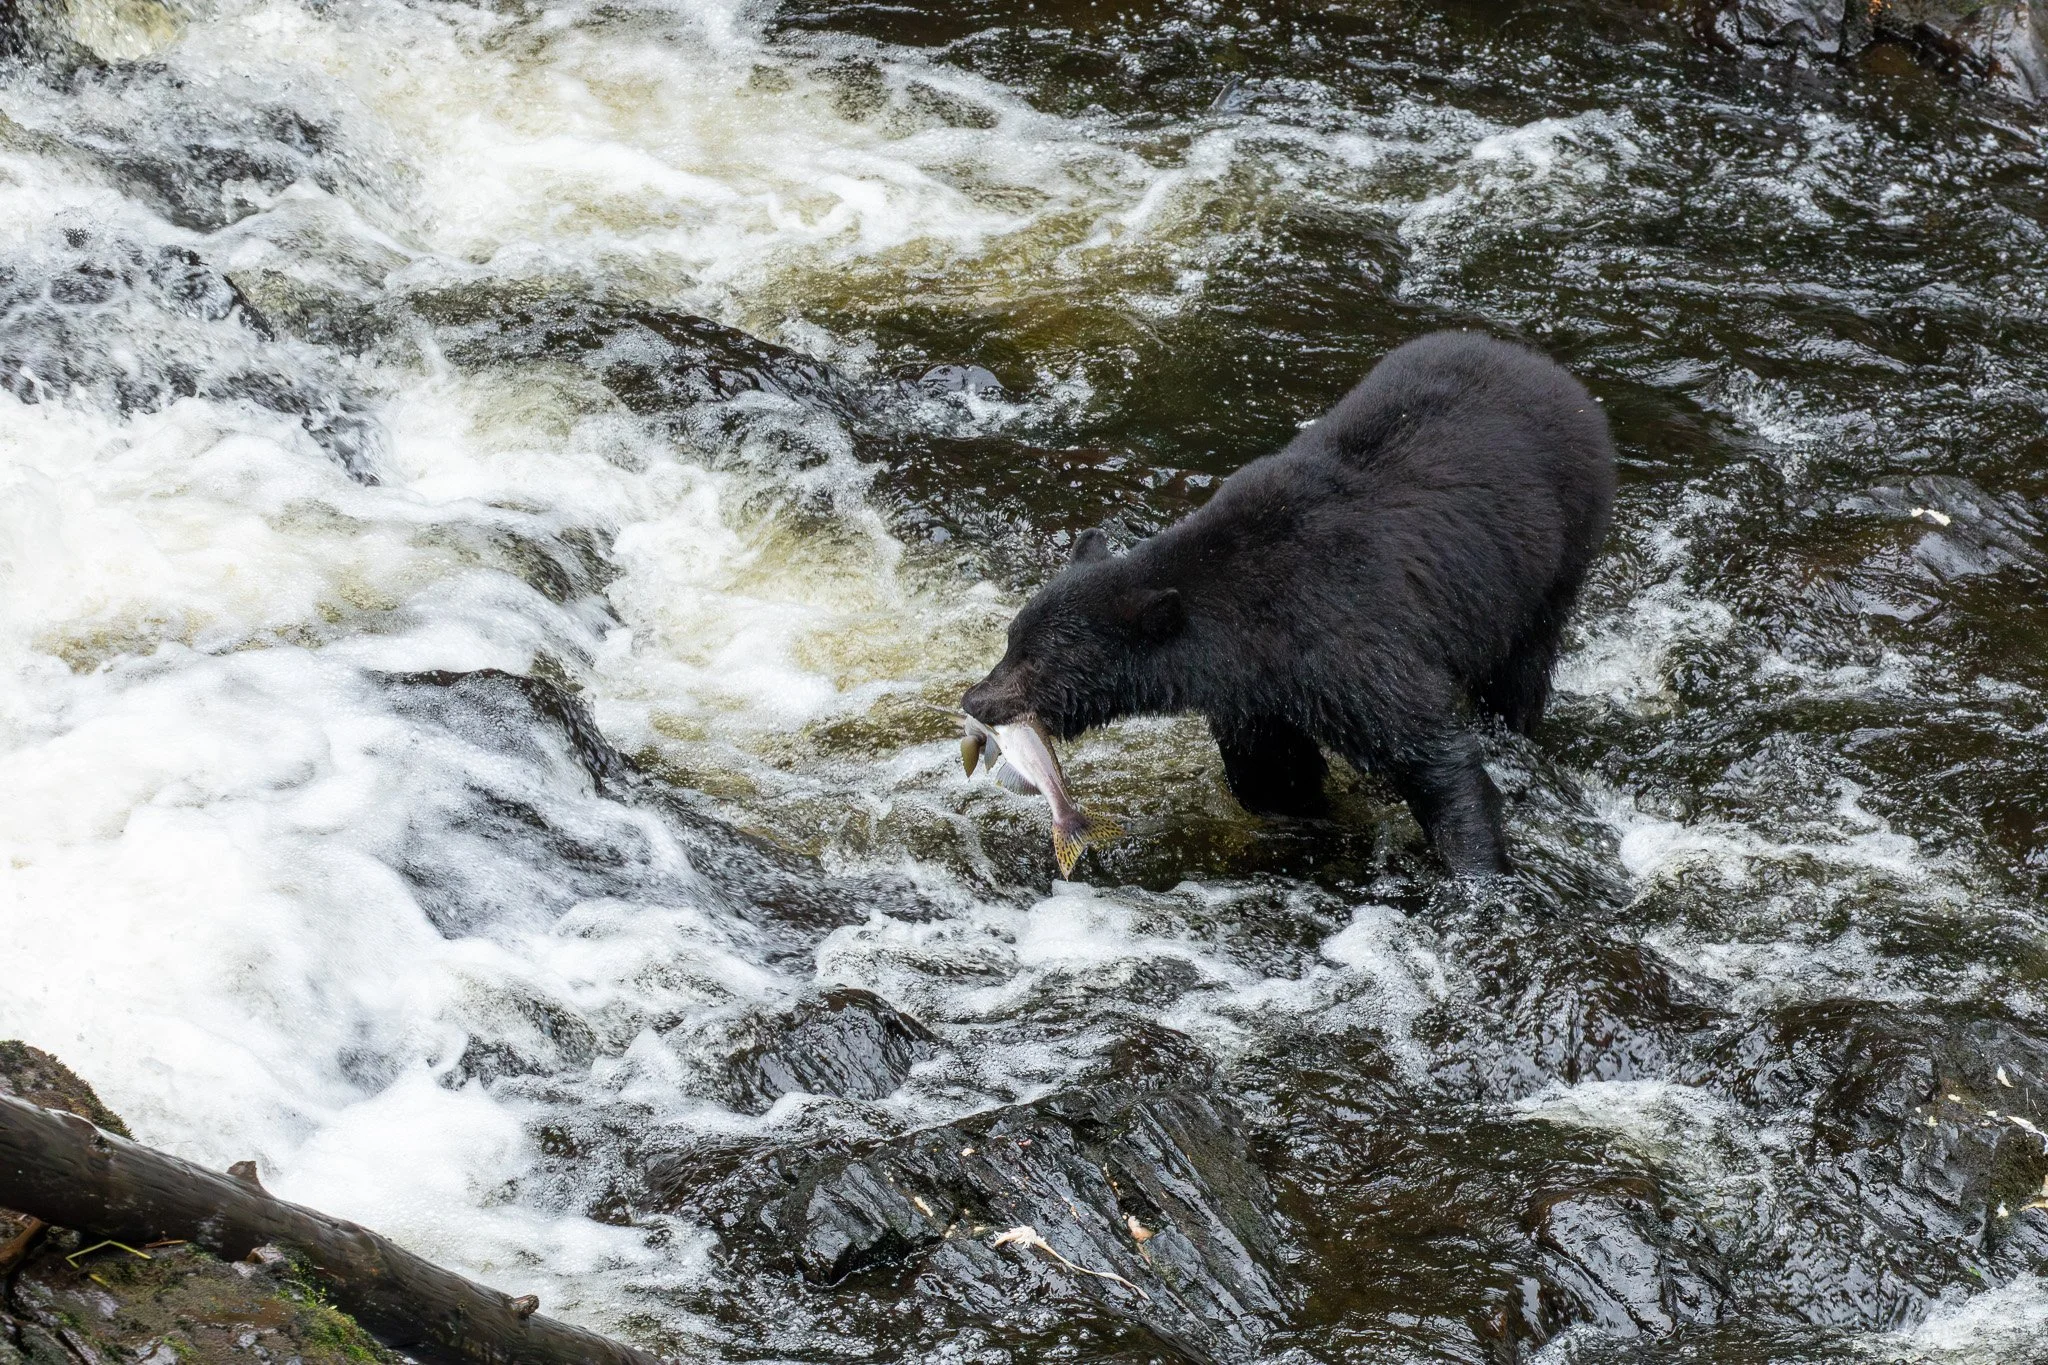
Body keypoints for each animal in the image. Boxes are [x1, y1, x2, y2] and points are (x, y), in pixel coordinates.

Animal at [961, 329, 1616, 875]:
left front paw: (1479, 869)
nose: (976, 699)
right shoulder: (1253, 694)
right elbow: (1273, 774)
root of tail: (1542, 365)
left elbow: (1426, 750)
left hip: (1554, 554)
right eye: (1011, 639)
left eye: (1039, 660)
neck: (1248, 628)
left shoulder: (1344, 638)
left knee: (1518, 673)